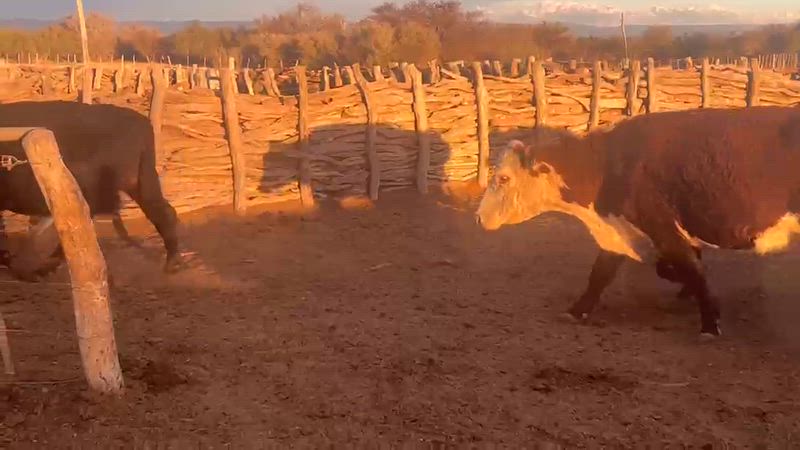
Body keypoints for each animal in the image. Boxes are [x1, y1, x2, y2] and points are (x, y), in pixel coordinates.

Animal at [475, 106, 800, 338]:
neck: (609, 165)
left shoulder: (663, 228)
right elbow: (600, 274)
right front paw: (577, 310)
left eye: (503, 178)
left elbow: (691, 271)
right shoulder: (619, 229)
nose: (479, 217)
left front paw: (710, 322)